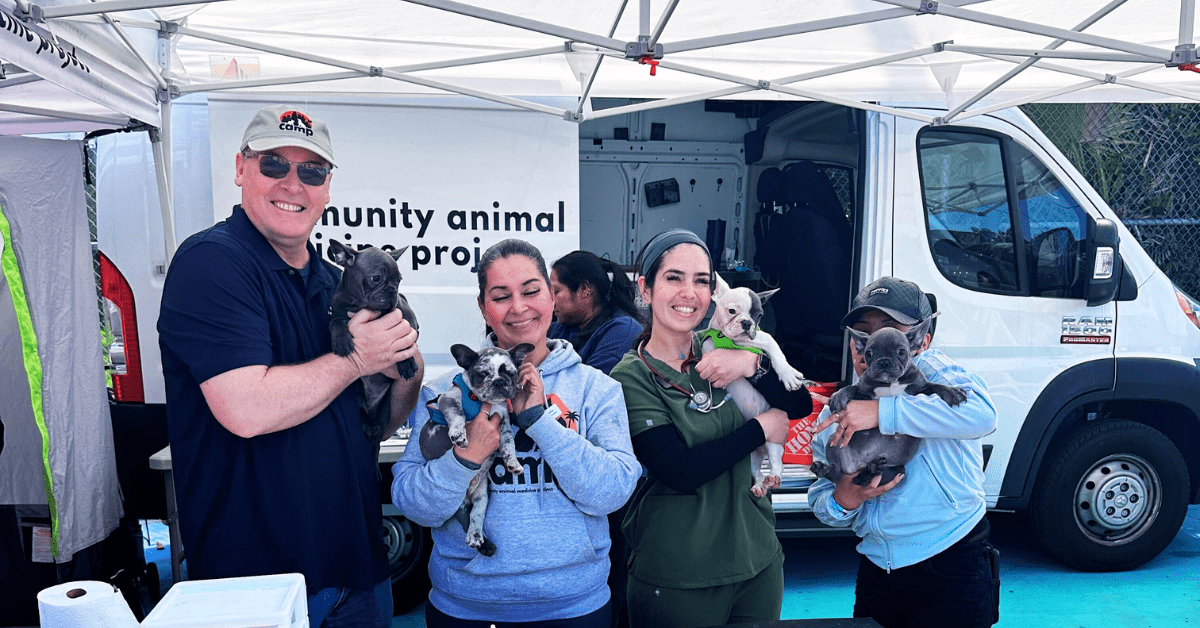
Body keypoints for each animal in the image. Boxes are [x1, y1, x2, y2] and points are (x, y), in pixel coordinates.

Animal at [326, 240, 420, 441]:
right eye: (376, 278)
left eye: (399, 280)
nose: (392, 291)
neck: (361, 306)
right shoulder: (336, 312)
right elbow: (336, 323)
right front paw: (341, 342)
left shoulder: (408, 319)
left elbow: (404, 343)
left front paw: (407, 364)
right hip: (357, 392)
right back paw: (368, 425)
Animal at [420, 343, 537, 554]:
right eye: (482, 374)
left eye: (511, 373)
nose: (499, 382)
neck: (484, 402)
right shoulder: (448, 400)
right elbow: (458, 415)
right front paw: (458, 435)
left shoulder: (504, 423)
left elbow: (509, 443)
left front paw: (513, 462)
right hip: (460, 501)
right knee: (464, 518)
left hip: (482, 494)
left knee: (476, 514)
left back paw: (477, 537)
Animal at [700, 272, 811, 499]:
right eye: (732, 311)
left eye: (759, 316)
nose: (746, 323)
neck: (732, 342)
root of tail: (759, 450)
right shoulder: (709, 345)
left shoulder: (761, 337)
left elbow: (772, 348)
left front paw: (787, 374)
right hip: (749, 459)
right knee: (757, 472)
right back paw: (760, 485)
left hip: (773, 442)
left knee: (777, 464)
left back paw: (773, 477)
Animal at [806, 319, 964, 487]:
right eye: (869, 353)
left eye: (901, 351)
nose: (883, 362)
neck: (890, 383)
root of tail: (858, 464)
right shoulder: (864, 392)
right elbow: (852, 387)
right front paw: (839, 395)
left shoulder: (921, 387)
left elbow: (935, 385)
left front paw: (952, 391)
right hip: (834, 443)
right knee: (837, 474)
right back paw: (826, 469)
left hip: (898, 469)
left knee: (865, 478)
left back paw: (871, 469)